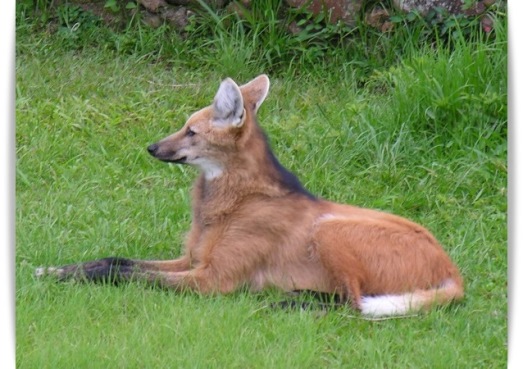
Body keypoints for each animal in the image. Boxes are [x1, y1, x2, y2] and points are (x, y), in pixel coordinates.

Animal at [35, 74, 462, 316]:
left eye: (191, 131)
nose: (152, 148)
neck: (231, 202)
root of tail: (453, 271)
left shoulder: (210, 280)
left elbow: (122, 273)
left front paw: (66, 276)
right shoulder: (190, 259)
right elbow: (115, 260)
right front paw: (55, 270)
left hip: (329, 229)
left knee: (355, 304)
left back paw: (288, 305)